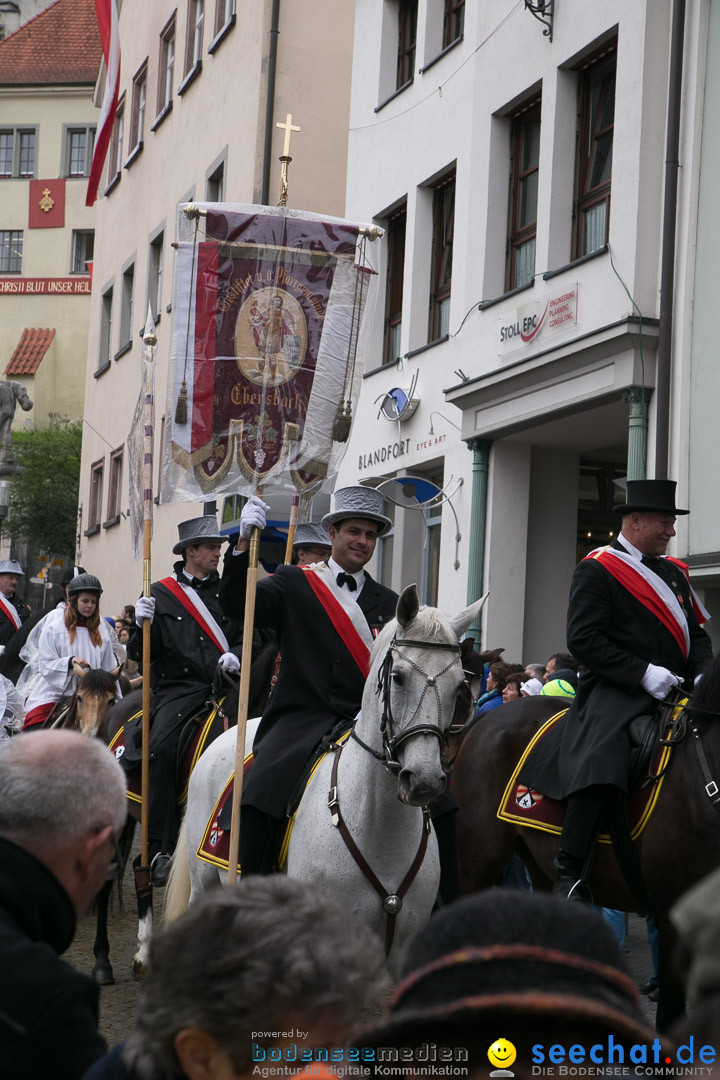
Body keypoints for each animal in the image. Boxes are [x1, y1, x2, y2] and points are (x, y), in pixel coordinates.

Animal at [166, 587, 487, 976]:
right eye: (398, 677)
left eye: (459, 688)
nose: (423, 778)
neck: (380, 828)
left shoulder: (398, 956)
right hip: (205, 884)